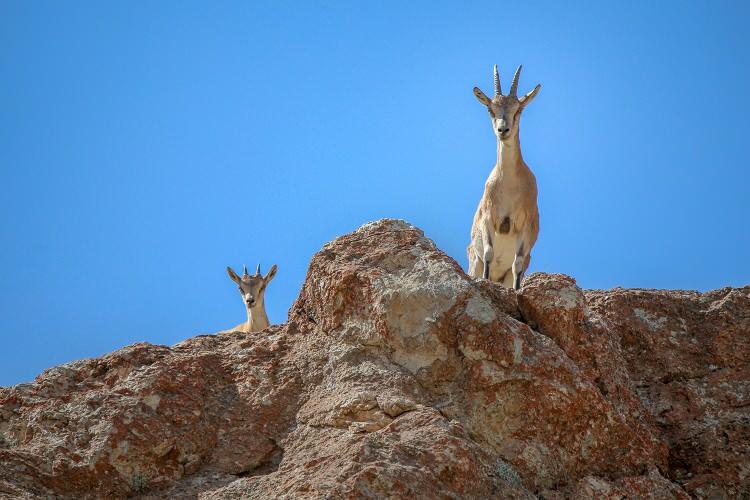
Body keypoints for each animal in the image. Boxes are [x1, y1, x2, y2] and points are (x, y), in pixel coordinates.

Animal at [470, 64, 540, 290]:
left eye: (518, 109)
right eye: (490, 109)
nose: (503, 130)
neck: (509, 185)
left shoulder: (525, 228)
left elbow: (517, 263)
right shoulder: (488, 219)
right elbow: (489, 253)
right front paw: (484, 282)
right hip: (473, 261)